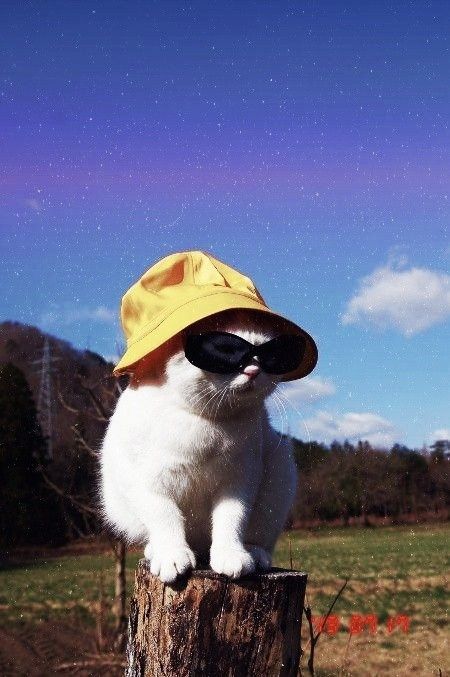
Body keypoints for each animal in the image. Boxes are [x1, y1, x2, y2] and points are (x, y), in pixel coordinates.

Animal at [98, 308, 298, 584]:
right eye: (224, 350)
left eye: (266, 353)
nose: (253, 370)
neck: (206, 421)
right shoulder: (149, 483)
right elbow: (165, 518)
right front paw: (171, 556)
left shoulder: (239, 481)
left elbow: (231, 520)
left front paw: (231, 555)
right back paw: (157, 551)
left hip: (279, 474)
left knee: (257, 538)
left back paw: (254, 555)